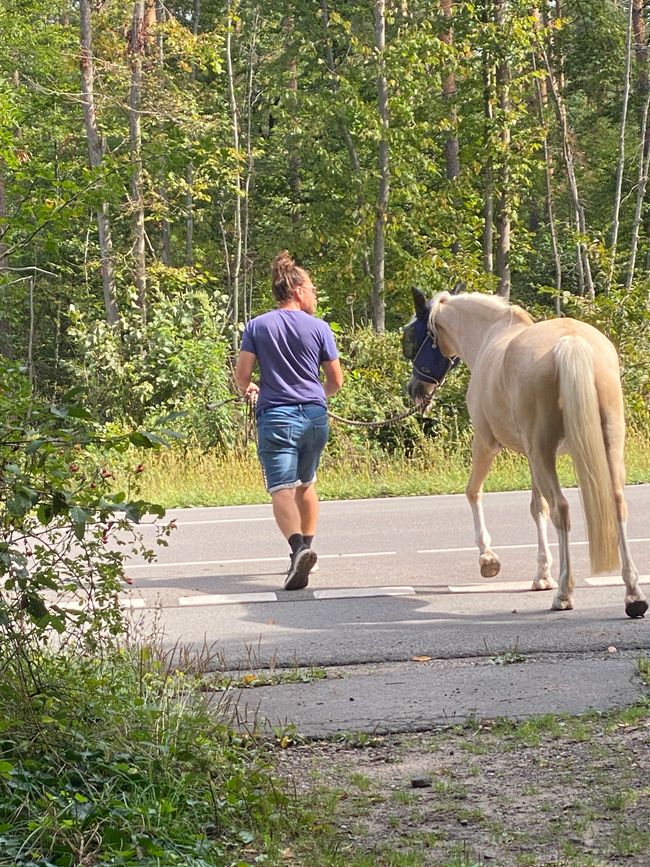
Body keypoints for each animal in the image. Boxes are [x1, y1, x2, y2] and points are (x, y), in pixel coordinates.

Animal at [402, 287, 647, 619]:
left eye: (410, 338)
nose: (415, 389)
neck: (489, 335)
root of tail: (570, 342)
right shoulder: (533, 458)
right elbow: (536, 507)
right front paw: (542, 574)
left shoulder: (487, 443)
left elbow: (474, 492)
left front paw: (488, 559)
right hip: (606, 446)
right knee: (616, 503)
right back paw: (633, 595)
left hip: (542, 452)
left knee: (561, 509)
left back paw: (564, 593)